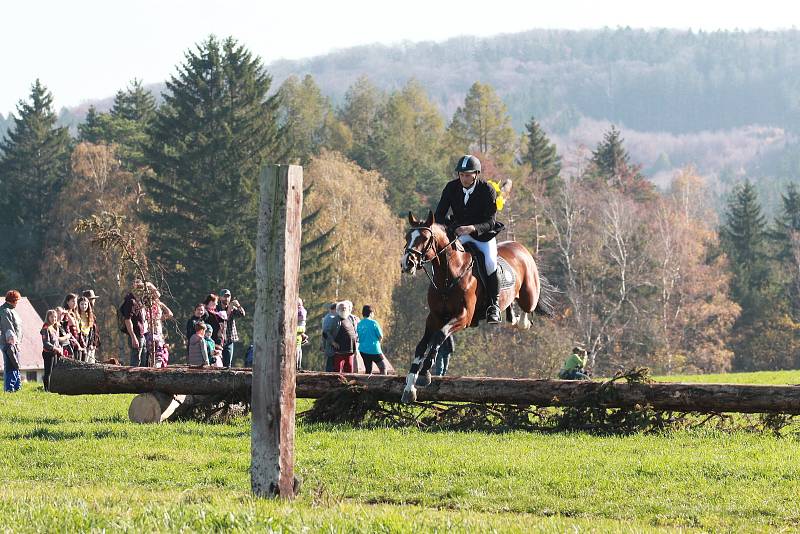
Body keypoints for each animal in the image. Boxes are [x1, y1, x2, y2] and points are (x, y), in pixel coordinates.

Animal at [398, 211, 552, 404]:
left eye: (425, 238)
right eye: (407, 237)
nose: (407, 264)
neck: (448, 275)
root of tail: (520, 247)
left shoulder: (463, 316)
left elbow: (439, 335)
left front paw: (425, 373)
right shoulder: (434, 317)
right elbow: (421, 346)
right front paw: (409, 387)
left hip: (529, 294)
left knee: (527, 309)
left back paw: (517, 321)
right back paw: (509, 316)